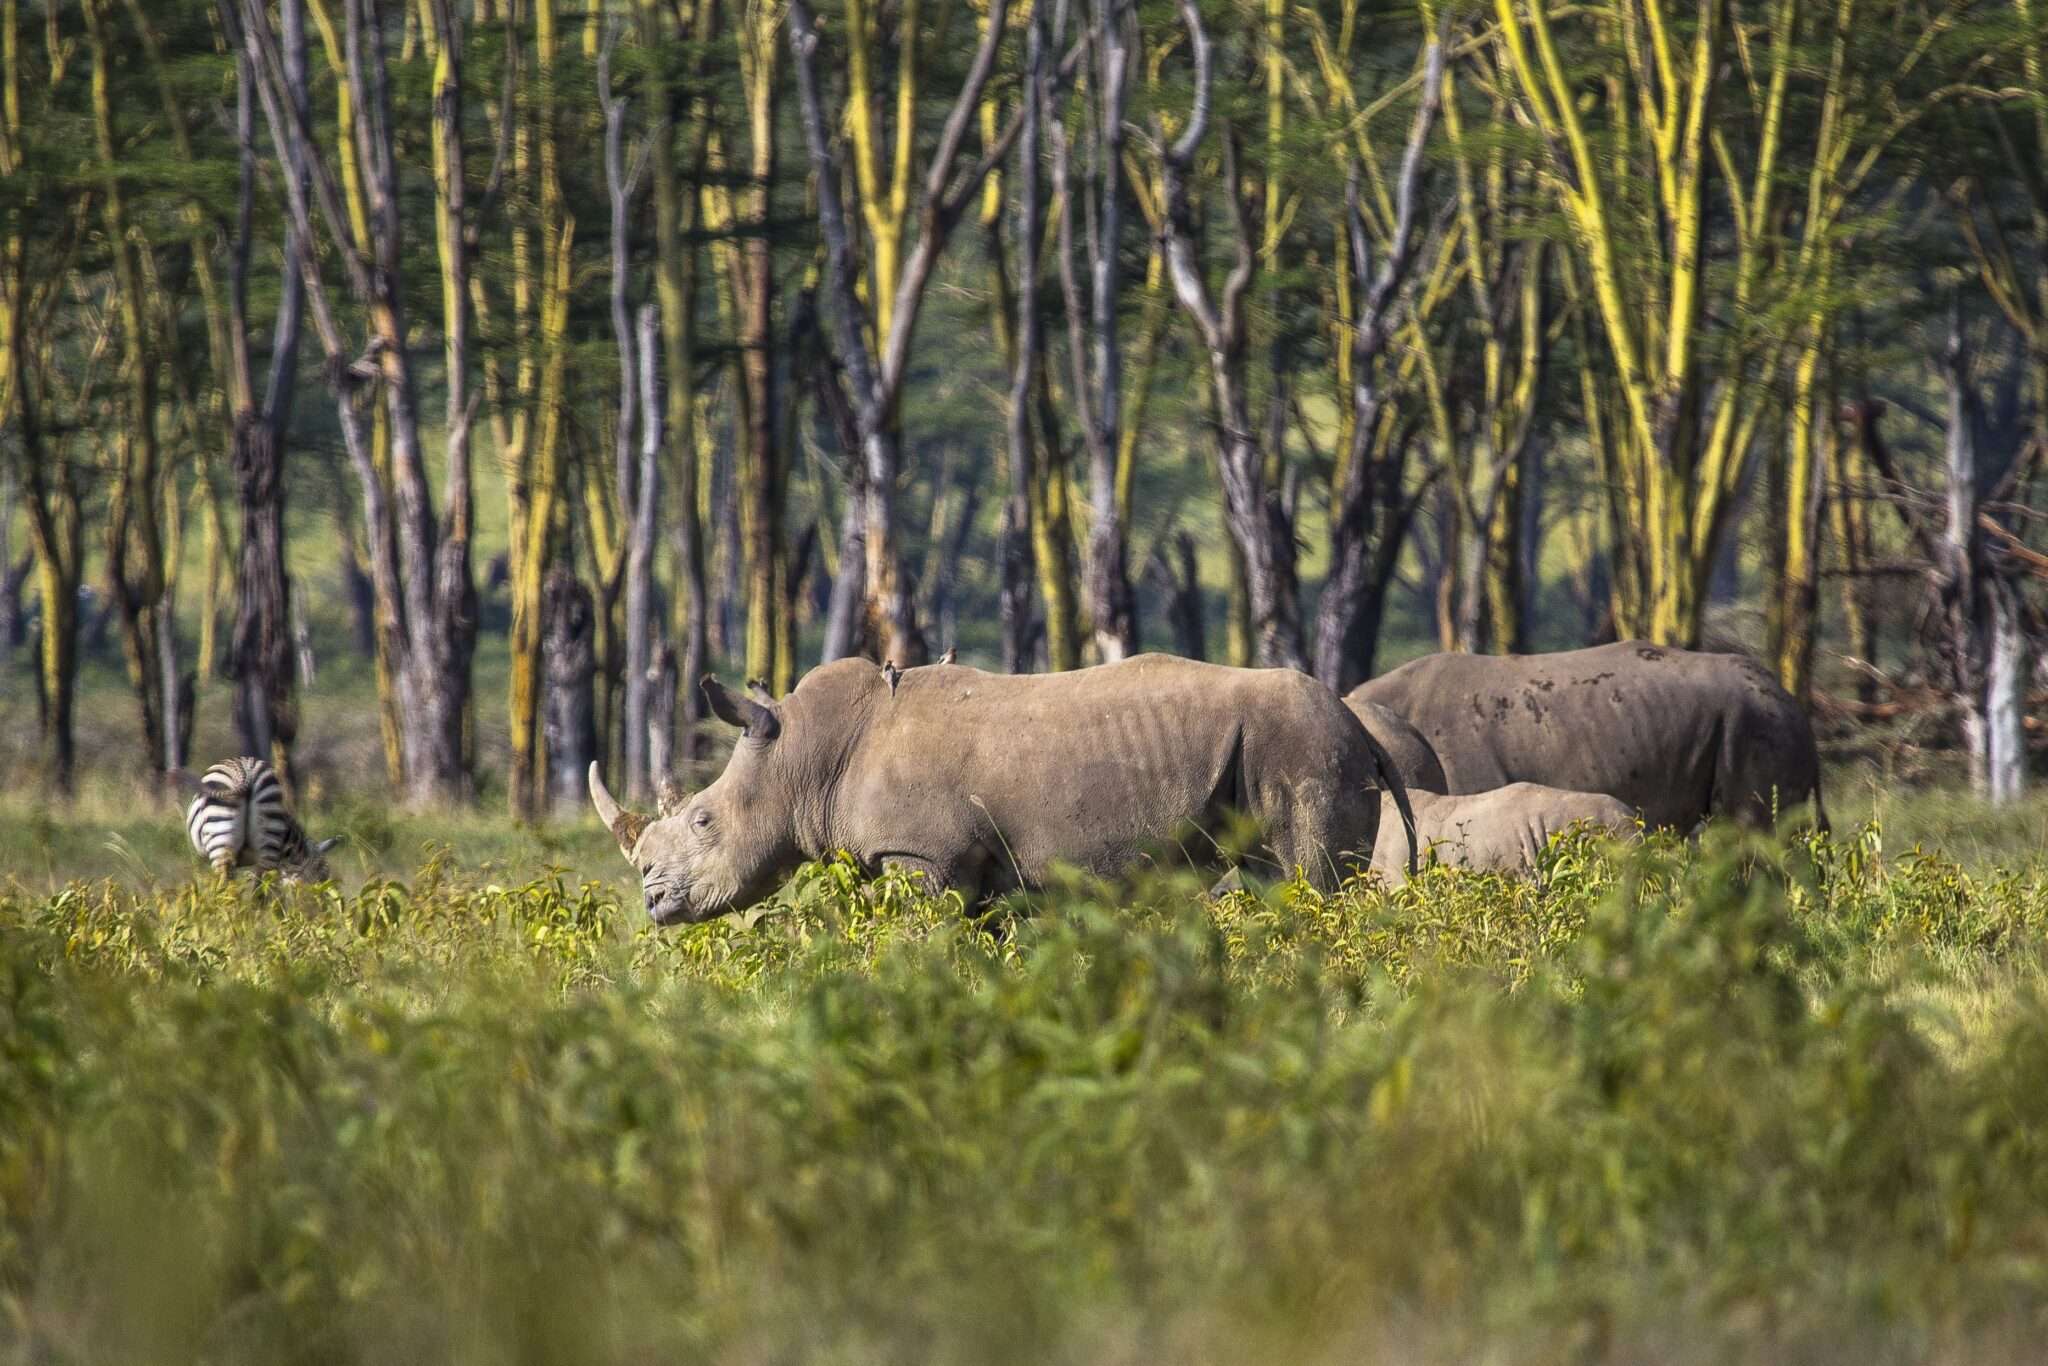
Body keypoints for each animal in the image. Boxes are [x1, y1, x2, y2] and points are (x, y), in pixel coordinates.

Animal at [593, 655, 1417, 929]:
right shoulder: (976, 870)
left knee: (1311, 882)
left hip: (1305, 746)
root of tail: (1360, 725)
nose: (652, 902)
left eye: (703, 821)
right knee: (1276, 880)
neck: (802, 756)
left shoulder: (922, 856)